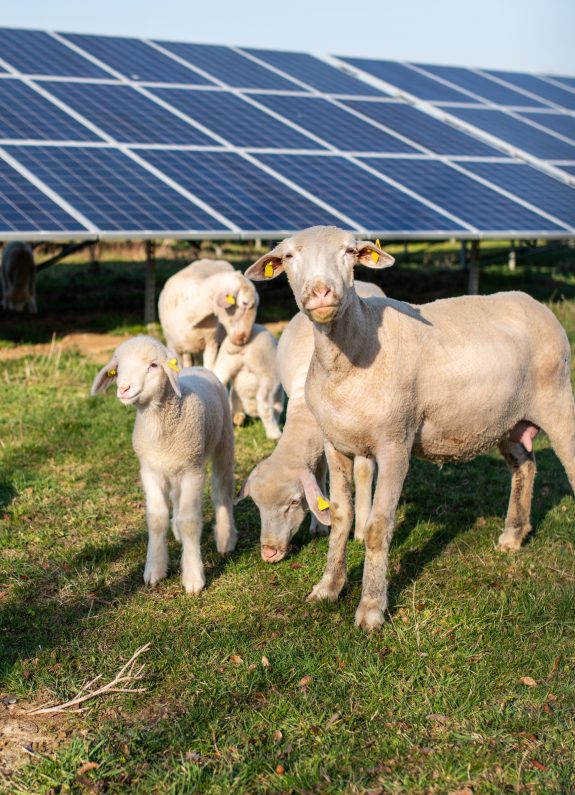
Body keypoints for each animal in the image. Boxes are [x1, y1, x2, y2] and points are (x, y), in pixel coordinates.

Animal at [91, 335, 236, 594]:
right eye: (118, 368)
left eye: (153, 365)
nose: (123, 388)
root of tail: (199, 367)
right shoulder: (149, 471)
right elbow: (157, 518)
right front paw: (155, 570)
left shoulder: (192, 471)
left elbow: (190, 521)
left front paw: (193, 578)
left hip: (223, 442)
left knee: (222, 490)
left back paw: (225, 538)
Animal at [238, 281, 384, 562]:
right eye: (257, 506)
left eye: (294, 502)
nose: (269, 553)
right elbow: (320, 472)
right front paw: (319, 526)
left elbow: (361, 473)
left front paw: (360, 530)